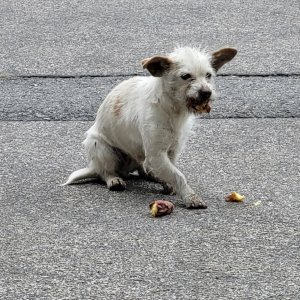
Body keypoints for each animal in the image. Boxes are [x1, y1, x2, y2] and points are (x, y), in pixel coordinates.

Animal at [63, 46, 237, 209]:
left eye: (208, 75)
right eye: (186, 76)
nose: (207, 92)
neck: (173, 109)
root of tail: (93, 165)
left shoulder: (172, 151)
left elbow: (172, 172)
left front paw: (170, 185)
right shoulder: (156, 154)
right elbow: (178, 176)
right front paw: (190, 197)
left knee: (144, 169)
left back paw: (154, 176)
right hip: (101, 148)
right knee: (105, 172)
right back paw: (114, 180)